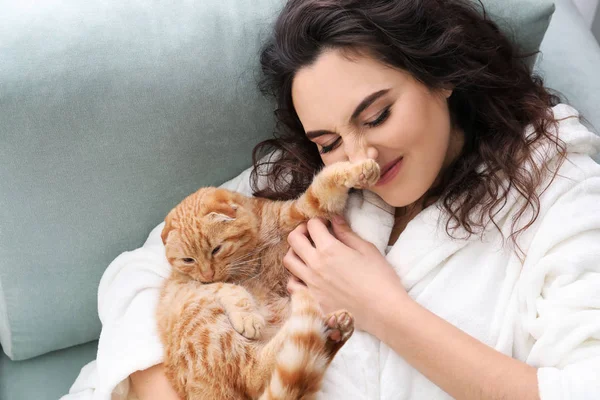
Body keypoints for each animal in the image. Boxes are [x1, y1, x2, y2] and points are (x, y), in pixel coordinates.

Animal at [156, 158, 380, 398]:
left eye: (216, 249)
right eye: (188, 260)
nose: (207, 275)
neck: (252, 249)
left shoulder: (304, 212)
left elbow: (324, 186)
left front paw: (360, 168)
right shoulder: (194, 288)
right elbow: (231, 288)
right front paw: (247, 317)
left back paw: (333, 330)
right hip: (207, 322)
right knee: (254, 373)